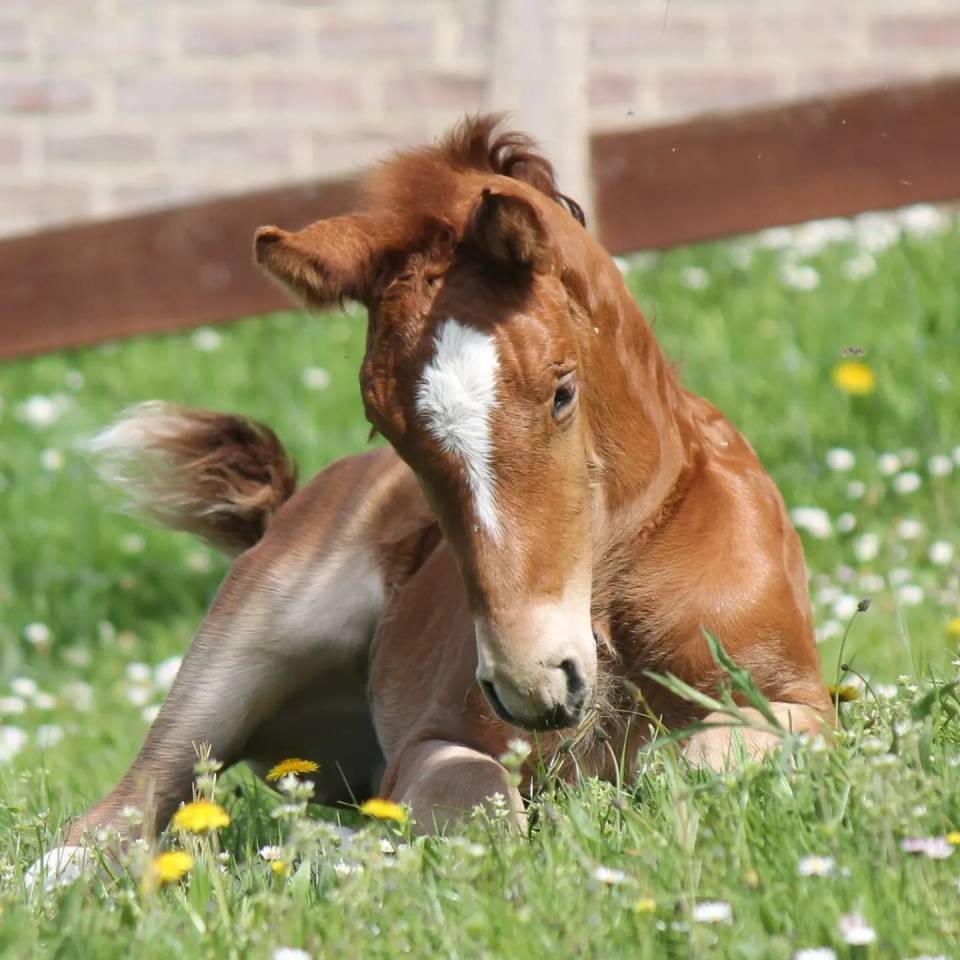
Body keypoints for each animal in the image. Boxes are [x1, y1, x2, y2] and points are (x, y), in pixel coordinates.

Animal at [29, 115, 830, 889]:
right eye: (387, 425)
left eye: (562, 390)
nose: (535, 682)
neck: (613, 591)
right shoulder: (434, 738)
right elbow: (475, 800)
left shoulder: (806, 702)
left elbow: (696, 757)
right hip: (251, 635)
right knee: (112, 821)